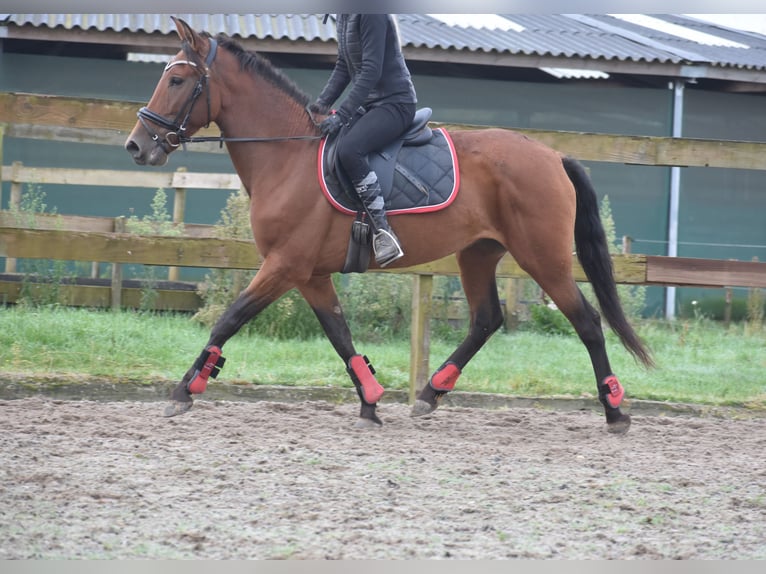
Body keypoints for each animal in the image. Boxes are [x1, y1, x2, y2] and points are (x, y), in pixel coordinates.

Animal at [126, 15, 656, 434]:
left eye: (178, 81)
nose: (137, 145)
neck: (287, 155)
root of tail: (552, 155)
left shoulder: (284, 265)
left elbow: (229, 318)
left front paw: (184, 391)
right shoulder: (310, 274)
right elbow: (340, 335)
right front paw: (370, 401)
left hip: (543, 257)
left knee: (586, 322)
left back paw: (614, 410)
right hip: (478, 252)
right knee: (487, 319)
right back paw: (430, 394)